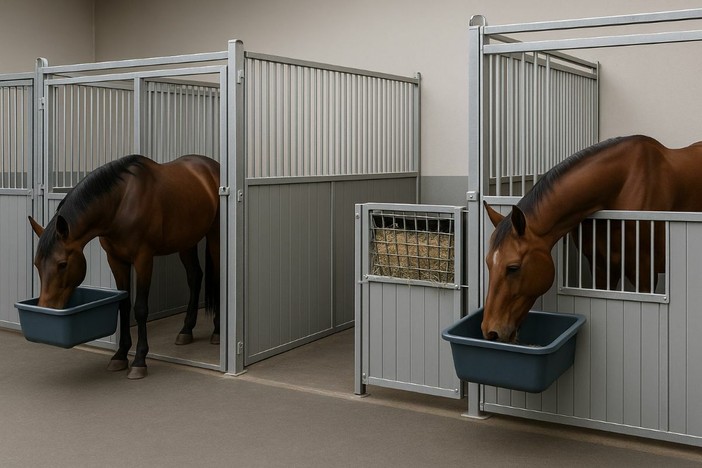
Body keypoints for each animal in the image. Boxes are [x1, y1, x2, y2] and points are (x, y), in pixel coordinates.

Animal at [28, 154, 220, 379]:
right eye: (36, 264)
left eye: (62, 264)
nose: (45, 308)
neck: (120, 204)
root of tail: (211, 166)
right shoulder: (115, 259)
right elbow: (123, 305)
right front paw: (120, 355)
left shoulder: (143, 258)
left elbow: (140, 308)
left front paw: (139, 361)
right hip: (186, 242)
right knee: (195, 278)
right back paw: (186, 331)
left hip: (215, 237)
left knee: (217, 278)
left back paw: (217, 332)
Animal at [482, 135, 702, 342]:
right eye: (488, 264)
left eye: (513, 268)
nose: (489, 331)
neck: (621, 188)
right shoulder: (601, 269)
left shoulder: (645, 274)